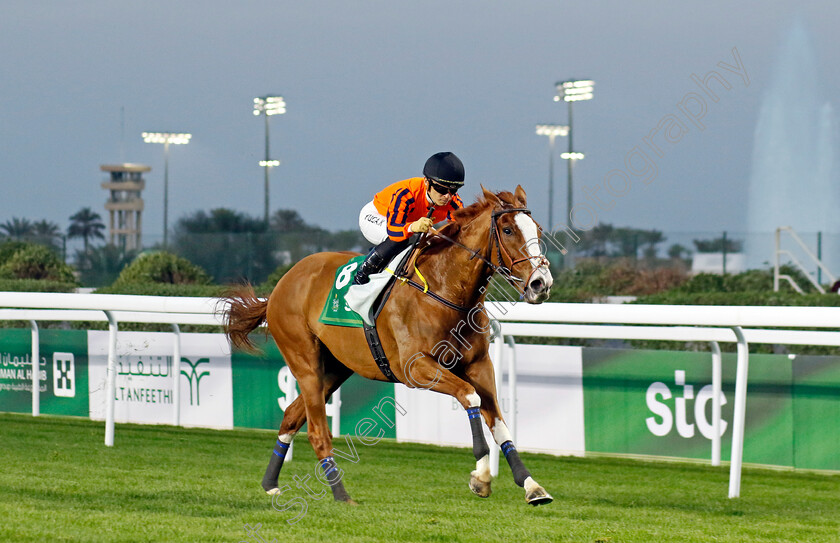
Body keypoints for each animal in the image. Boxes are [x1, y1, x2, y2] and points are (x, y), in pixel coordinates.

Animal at [221, 186, 556, 506]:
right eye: (508, 230)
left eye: (538, 230)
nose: (541, 283)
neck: (445, 290)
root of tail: (281, 285)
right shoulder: (415, 368)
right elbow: (470, 396)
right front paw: (482, 476)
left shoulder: (479, 365)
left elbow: (499, 422)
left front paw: (531, 486)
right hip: (305, 362)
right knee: (317, 432)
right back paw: (341, 495)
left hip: (335, 368)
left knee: (291, 416)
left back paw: (270, 483)